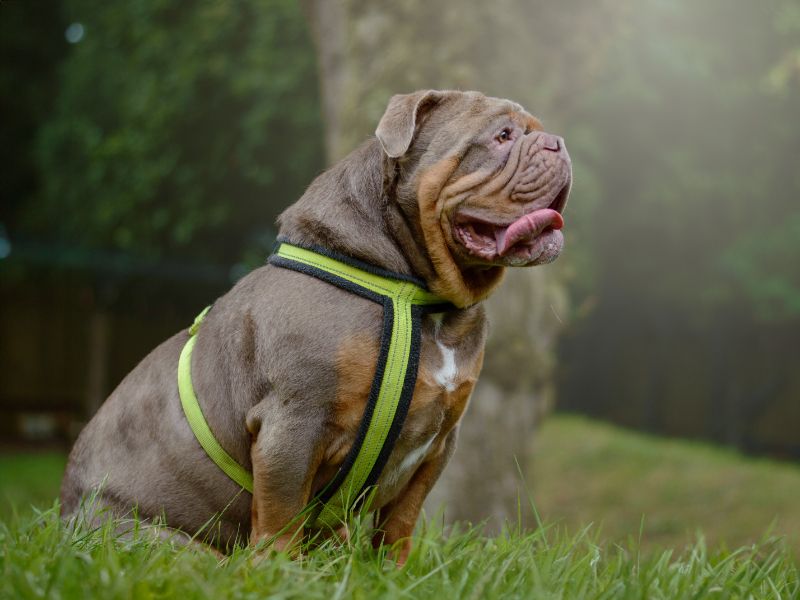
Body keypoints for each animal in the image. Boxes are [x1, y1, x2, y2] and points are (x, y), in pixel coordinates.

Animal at [62, 89, 572, 564]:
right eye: (502, 136)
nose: (559, 143)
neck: (419, 299)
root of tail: (65, 516)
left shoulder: (440, 441)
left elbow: (401, 521)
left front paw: (392, 572)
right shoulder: (294, 422)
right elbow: (282, 513)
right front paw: (278, 571)